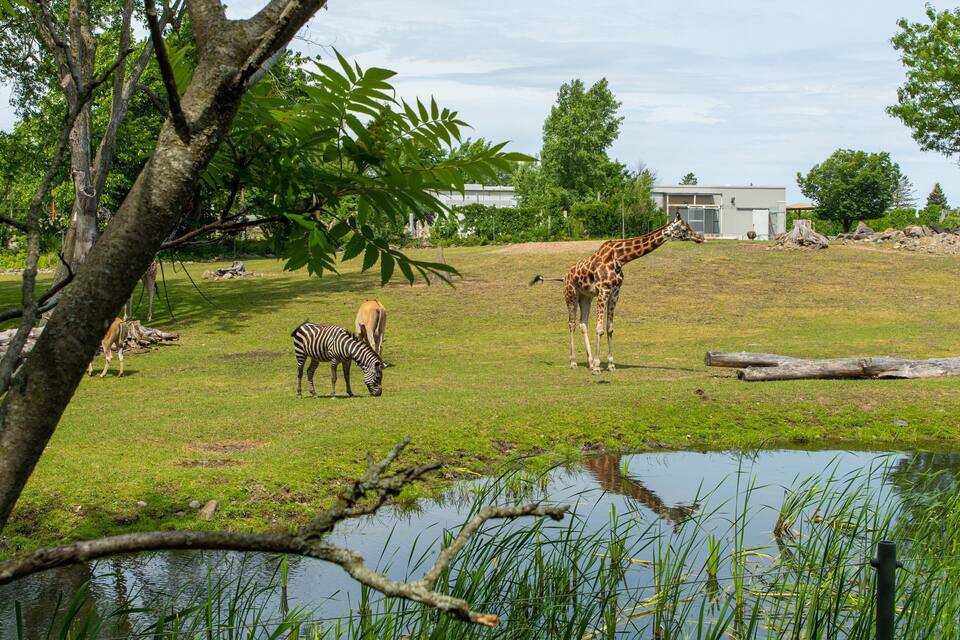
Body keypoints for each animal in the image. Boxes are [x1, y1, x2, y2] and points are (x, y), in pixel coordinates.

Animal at [532, 213, 704, 374]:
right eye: (684, 228)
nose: (700, 237)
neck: (620, 258)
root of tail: (564, 276)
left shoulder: (615, 293)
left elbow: (609, 328)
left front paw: (610, 364)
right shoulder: (603, 291)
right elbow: (599, 328)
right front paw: (597, 366)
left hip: (586, 297)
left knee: (583, 323)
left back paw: (588, 362)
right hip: (571, 295)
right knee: (571, 323)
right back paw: (574, 362)